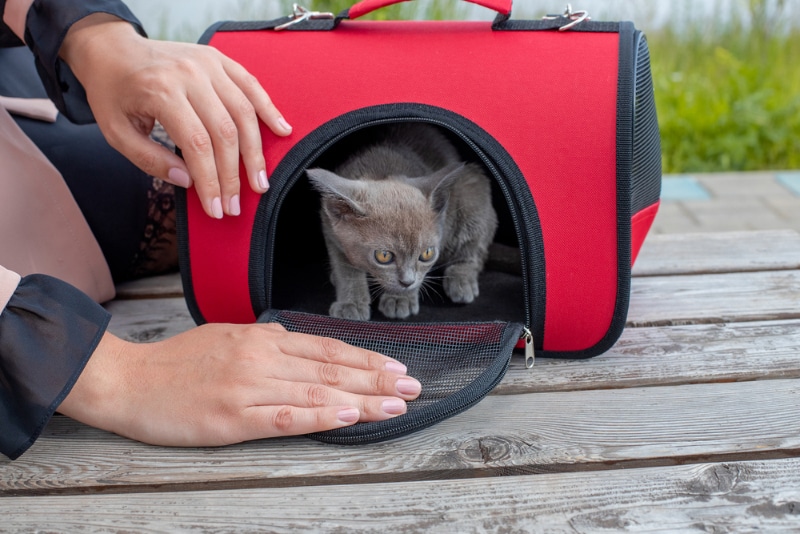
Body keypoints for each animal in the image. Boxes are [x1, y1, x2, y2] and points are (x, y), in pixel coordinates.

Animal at [304, 123, 496, 320]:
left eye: (427, 253)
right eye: (384, 256)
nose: (407, 282)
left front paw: (399, 299)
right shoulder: (330, 230)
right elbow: (346, 269)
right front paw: (351, 304)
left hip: (472, 190)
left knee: (475, 251)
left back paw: (461, 279)